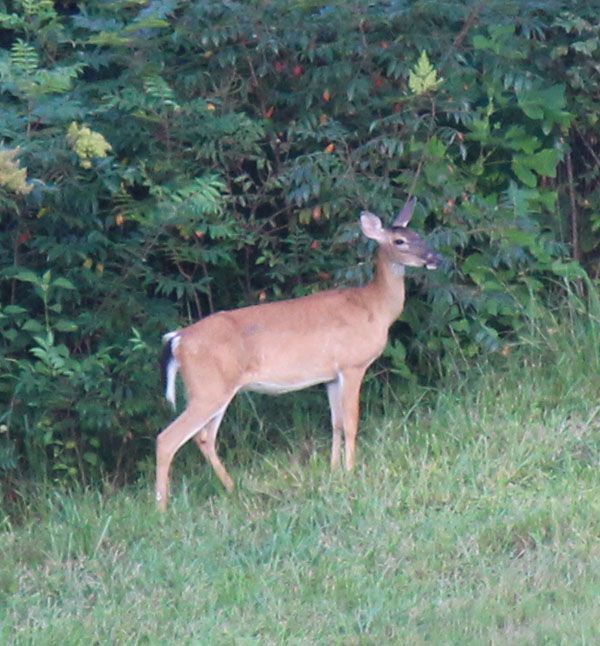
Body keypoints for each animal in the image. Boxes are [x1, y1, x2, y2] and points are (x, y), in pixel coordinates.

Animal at [156, 198, 441, 510]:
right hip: (208, 389)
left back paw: (233, 489)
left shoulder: (330, 375)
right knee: (167, 439)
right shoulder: (352, 364)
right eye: (399, 240)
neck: (374, 308)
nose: (435, 258)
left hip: (214, 389)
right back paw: (162, 508)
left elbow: (335, 423)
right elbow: (351, 422)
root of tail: (178, 340)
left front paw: (334, 470)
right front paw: (351, 471)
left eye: (419, 234)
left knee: (204, 438)